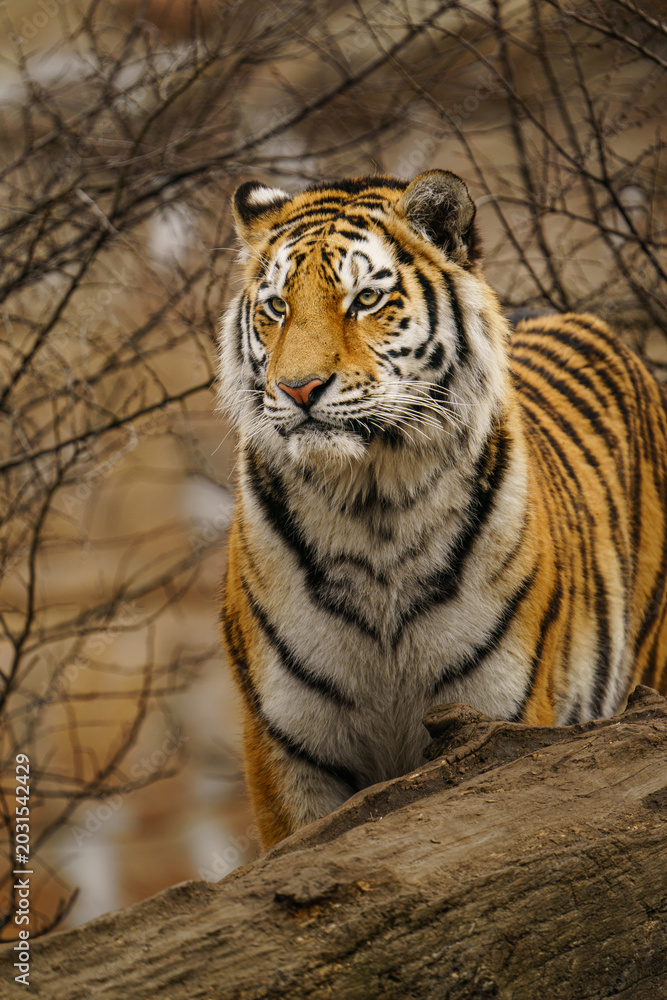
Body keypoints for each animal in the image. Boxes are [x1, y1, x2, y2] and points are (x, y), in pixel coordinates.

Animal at [218, 169, 667, 849]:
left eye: (365, 300)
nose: (297, 389)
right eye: (276, 307)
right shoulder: (288, 750)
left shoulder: (496, 722)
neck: (370, 506)